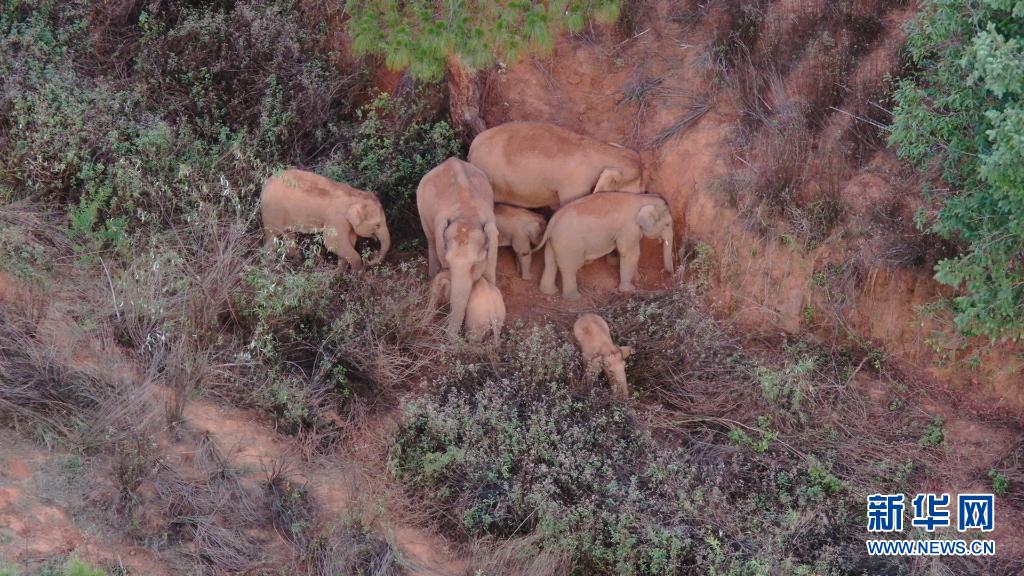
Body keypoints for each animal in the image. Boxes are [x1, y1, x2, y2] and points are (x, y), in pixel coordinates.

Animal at [260, 169, 390, 271]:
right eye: (377, 225)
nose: (372, 257)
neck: (355, 195)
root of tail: (265, 184)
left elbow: (349, 242)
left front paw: (339, 274)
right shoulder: (336, 218)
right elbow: (332, 242)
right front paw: (357, 275)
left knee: (289, 236)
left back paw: (296, 263)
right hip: (271, 212)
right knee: (272, 238)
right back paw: (269, 267)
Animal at [416, 157, 500, 337]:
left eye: (476, 264)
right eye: (447, 261)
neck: (467, 215)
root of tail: (450, 159)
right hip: (422, 208)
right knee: (430, 239)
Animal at [536, 192, 674, 300]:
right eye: (667, 224)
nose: (670, 274)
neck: (644, 198)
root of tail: (551, 222)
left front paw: (638, 279)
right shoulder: (628, 228)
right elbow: (630, 253)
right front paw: (629, 289)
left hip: (553, 242)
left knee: (550, 263)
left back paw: (549, 291)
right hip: (568, 245)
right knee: (569, 269)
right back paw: (574, 297)